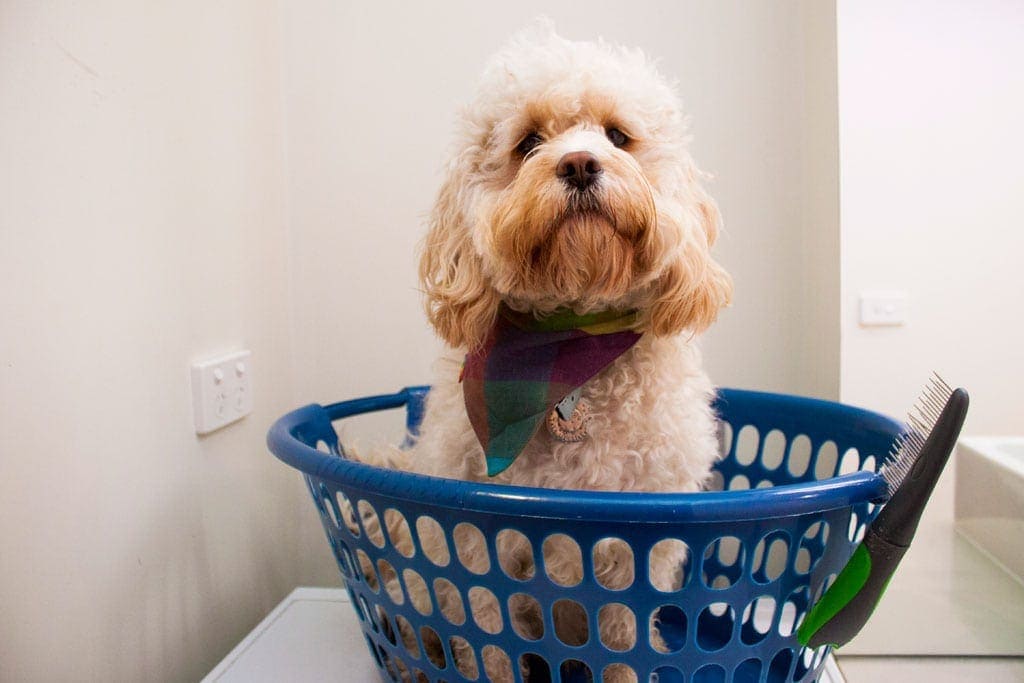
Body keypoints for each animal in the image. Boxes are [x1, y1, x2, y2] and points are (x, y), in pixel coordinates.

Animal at [358, 21, 729, 683]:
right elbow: (488, 646)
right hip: (419, 579)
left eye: (617, 136)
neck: (570, 348)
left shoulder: (639, 551)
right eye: (528, 141)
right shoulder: (473, 551)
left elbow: (623, 645)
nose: (579, 163)